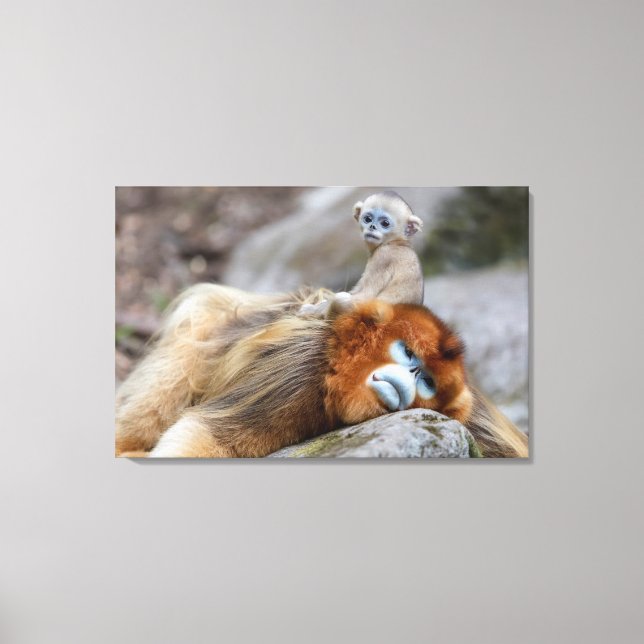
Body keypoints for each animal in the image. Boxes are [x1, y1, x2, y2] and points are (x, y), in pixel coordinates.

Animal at [115, 283, 528, 458]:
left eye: (426, 380)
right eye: (406, 353)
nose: (408, 379)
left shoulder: (470, 420)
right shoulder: (302, 369)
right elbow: (208, 434)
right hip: (203, 329)